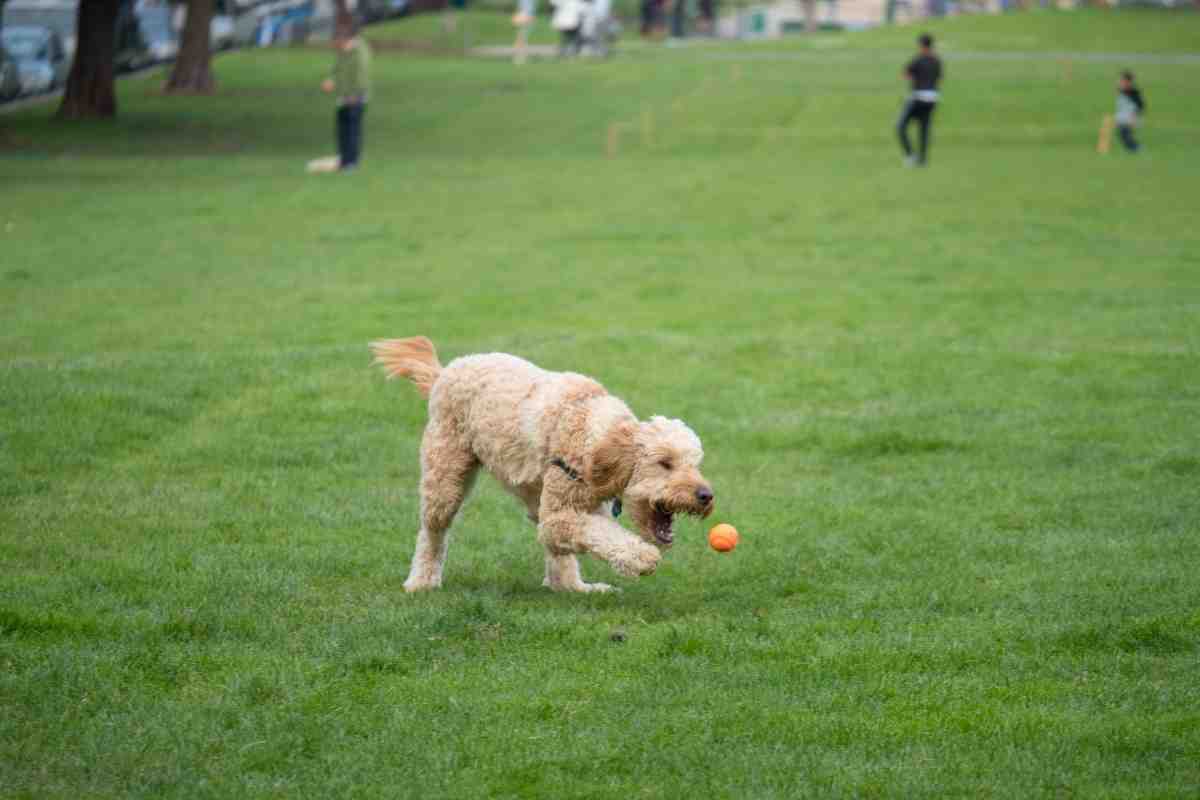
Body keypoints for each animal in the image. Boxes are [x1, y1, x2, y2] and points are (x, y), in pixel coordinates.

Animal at [369, 335, 710, 592]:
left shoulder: (580, 504)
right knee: (433, 532)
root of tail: (444, 372)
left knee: (556, 550)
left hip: (532, 493)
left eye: (695, 463)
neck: (589, 429)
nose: (706, 496)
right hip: (445, 476)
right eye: (665, 463)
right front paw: (642, 557)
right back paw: (422, 582)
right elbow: (600, 535)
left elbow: (590, 536)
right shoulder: (562, 511)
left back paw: (573, 587)